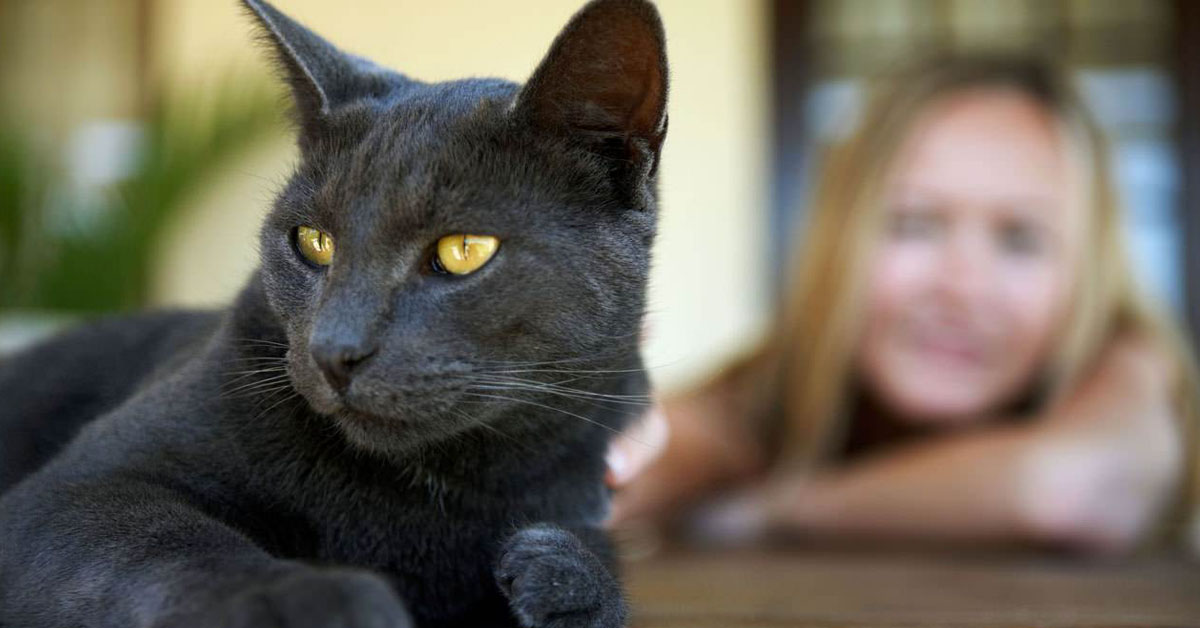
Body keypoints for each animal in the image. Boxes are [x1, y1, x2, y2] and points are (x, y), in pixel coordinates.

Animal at [0, 1, 667, 628]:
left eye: (464, 251)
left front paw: (566, 574)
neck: (429, 484)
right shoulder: (77, 489)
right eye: (313, 242)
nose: (333, 351)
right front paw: (310, 599)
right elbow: (170, 544)